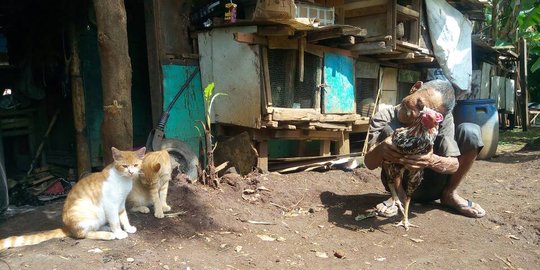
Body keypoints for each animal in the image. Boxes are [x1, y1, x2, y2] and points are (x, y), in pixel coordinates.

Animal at [0, 147, 146, 250]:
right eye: (125, 166)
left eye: (135, 165)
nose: (131, 172)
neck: (123, 180)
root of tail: (67, 227)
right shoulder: (111, 205)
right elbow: (115, 221)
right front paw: (119, 233)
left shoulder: (120, 204)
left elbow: (124, 217)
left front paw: (128, 228)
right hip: (89, 213)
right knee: (83, 234)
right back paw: (108, 234)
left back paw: (106, 228)